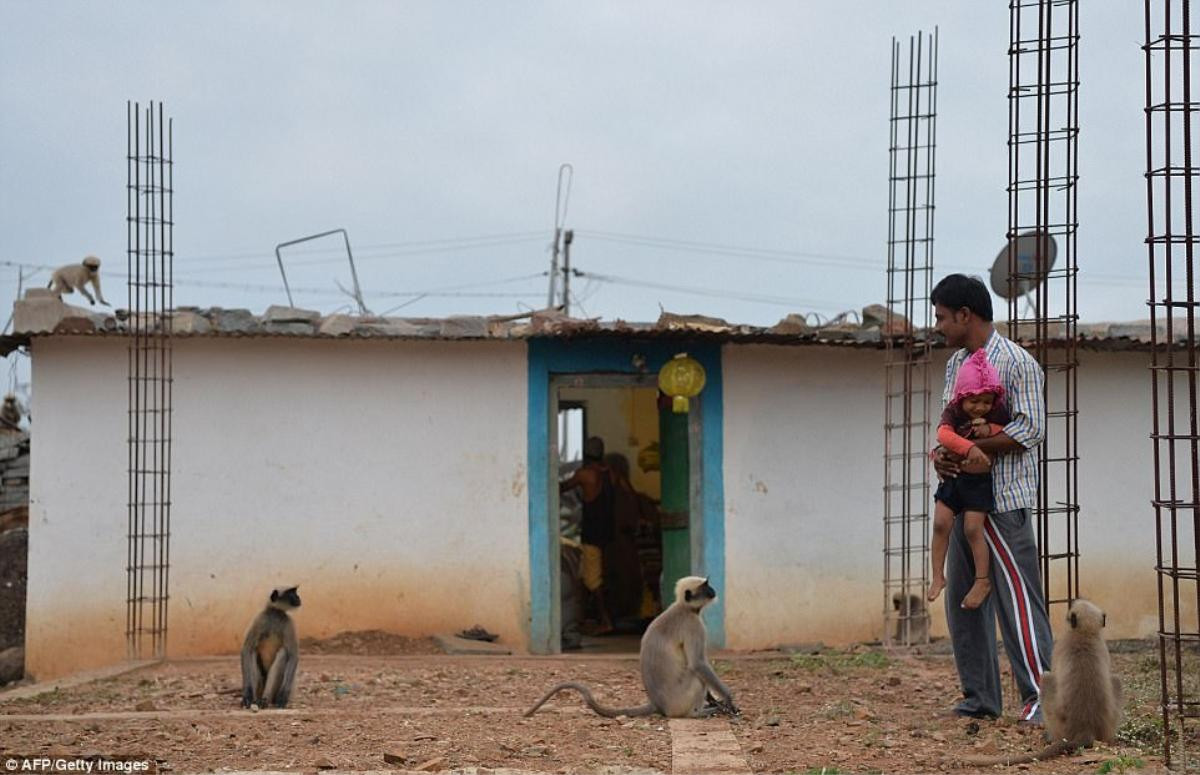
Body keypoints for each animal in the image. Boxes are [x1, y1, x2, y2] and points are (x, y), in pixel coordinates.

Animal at [528, 575, 739, 724]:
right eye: (706, 586)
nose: (713, 590)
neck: (683, 607)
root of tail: (658, 704)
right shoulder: (693, 624)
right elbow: (698, 664)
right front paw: (728, 699)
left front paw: (716, 699)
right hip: (680, 699)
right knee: (696, 676)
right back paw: (696, 713)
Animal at [955, 597, 1123, 767]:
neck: (1084, 633)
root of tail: (1085, 727)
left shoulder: (1060, 646)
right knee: (1116, 680)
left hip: (1059, 722)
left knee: (1047, 678)